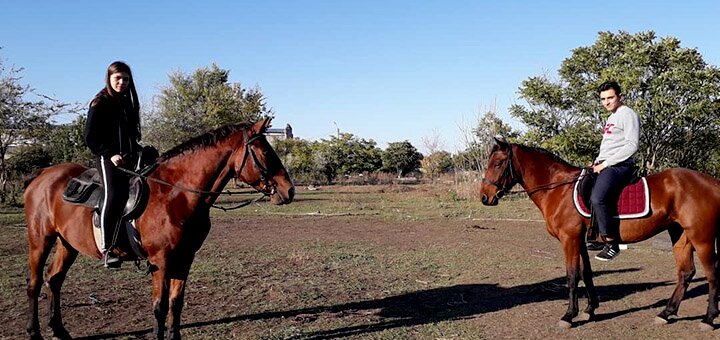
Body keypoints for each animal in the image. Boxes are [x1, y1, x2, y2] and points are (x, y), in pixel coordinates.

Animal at [24, 118, 296, 338]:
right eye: (266, 153)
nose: (289, 190)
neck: (175, 195)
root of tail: (43, 174)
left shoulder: (184, 258)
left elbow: (176, 303)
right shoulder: (161, 260)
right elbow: (160, 307)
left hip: (67, 244)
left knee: (54, 280)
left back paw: (59, 330)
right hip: (40, 240)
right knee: (35, 283)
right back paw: (34, 332)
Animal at [478, 138, 720, 330]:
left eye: (498, 163)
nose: (484, 197)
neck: (558, 188)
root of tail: (712, 182)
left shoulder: (569, 240)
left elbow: (572, 276)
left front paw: (569, 316)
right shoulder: (580, 241)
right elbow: (586, 274)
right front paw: (590, 309)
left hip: (702, 239)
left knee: (712, 274)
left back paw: (708, 319)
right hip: (680, 236)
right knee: (686, 273)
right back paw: (666, 313)